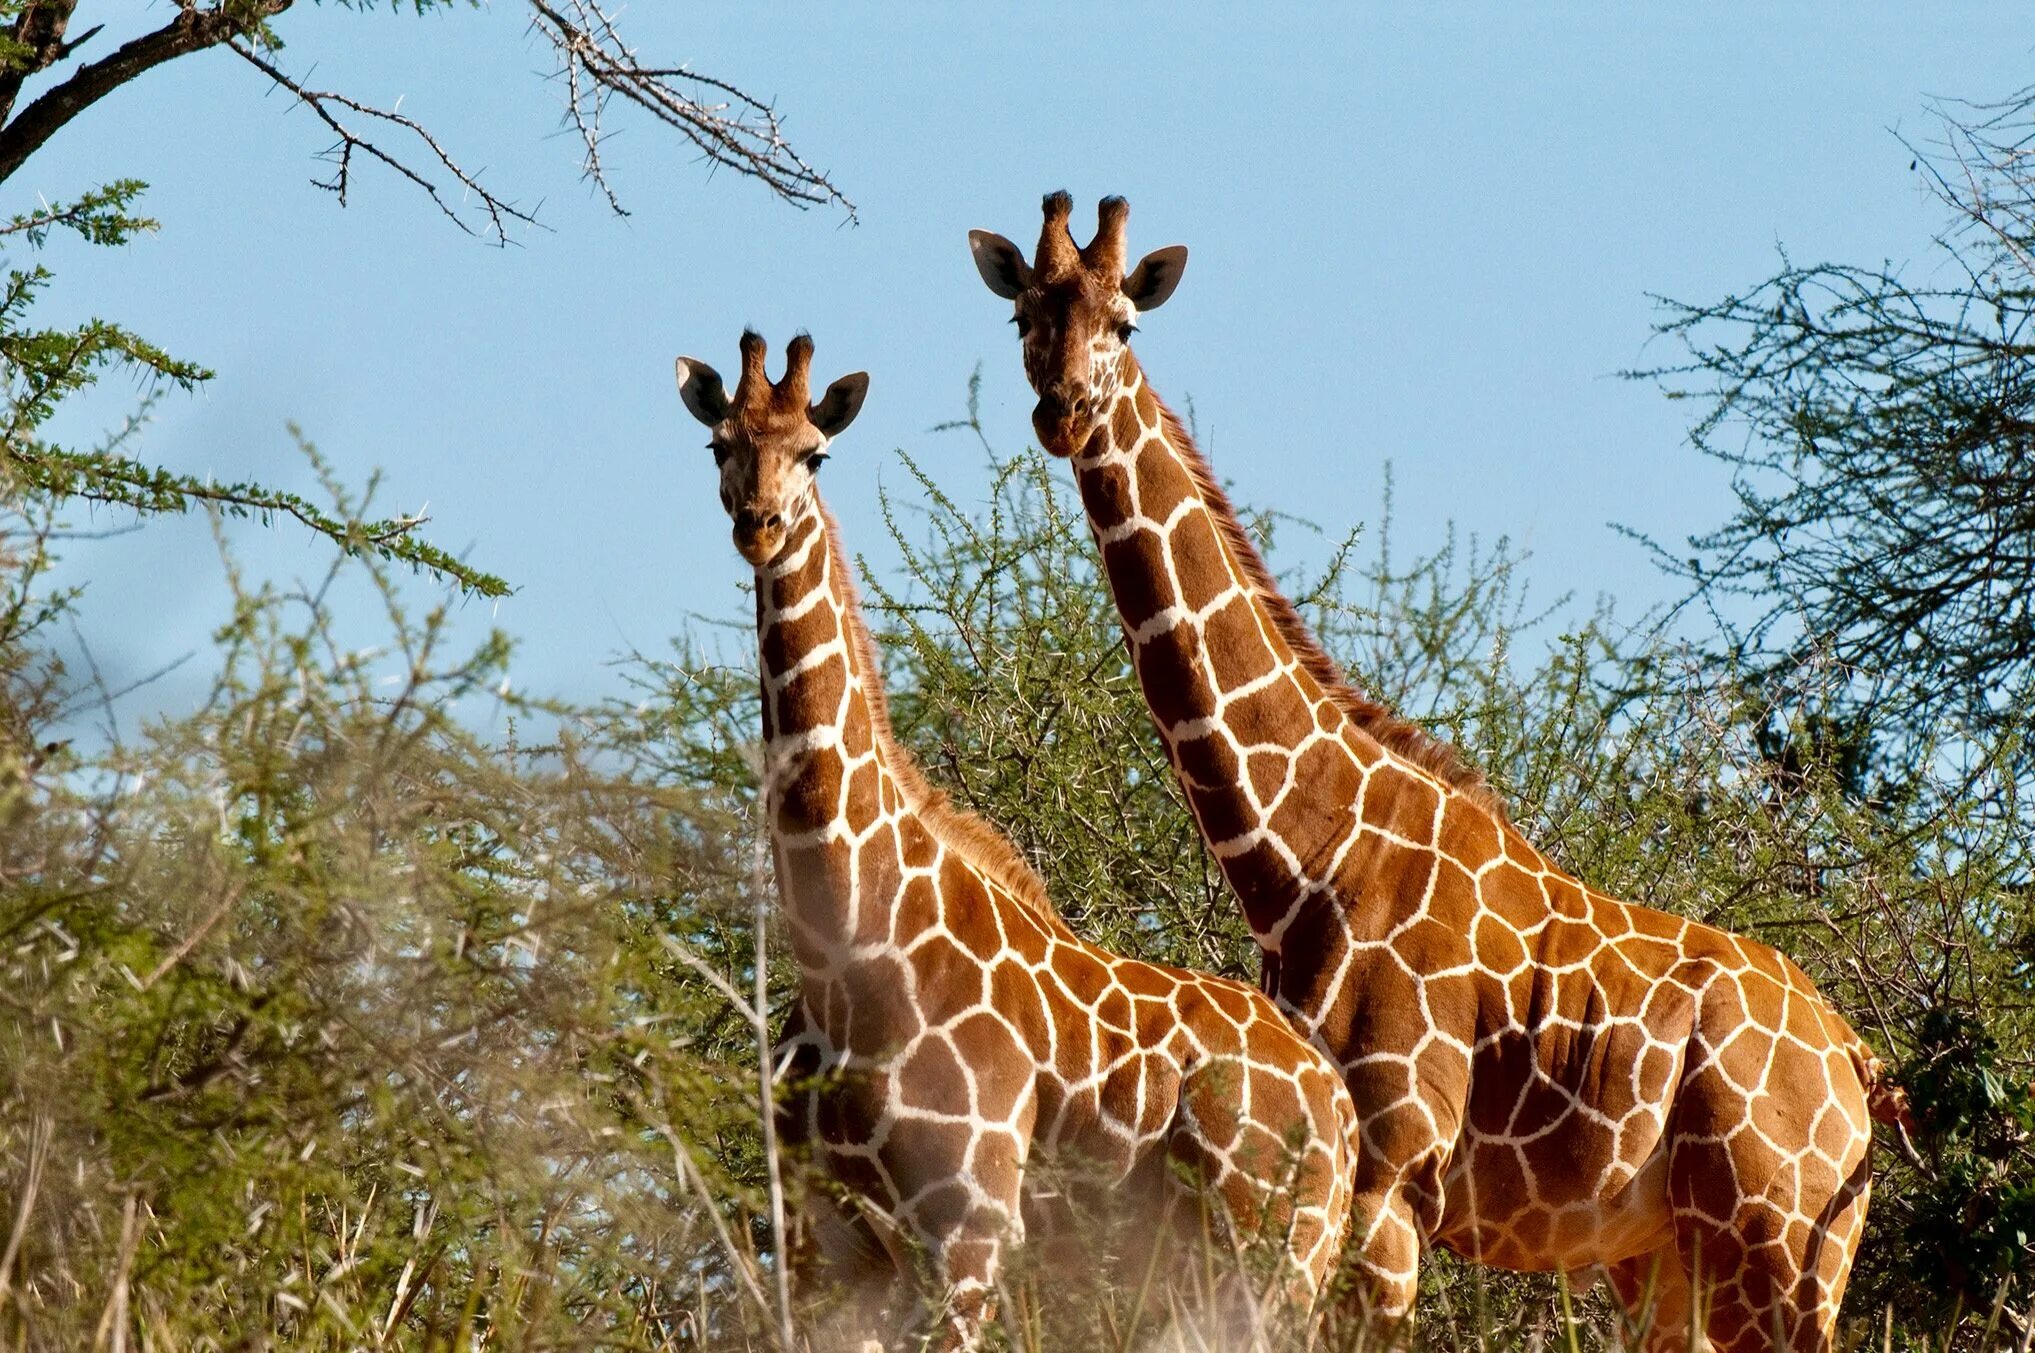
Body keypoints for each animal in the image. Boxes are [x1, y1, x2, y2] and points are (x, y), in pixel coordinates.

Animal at [675, 329, 1359, 1350]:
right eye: (720, 443)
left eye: (815, 452)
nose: (759, 524)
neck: (846, 949)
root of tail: (1342, 1113)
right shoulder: (828, 1251)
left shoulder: (968, 1228)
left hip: (1278, 1261)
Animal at [964, 192, 1904, 1350]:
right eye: (1024, 319)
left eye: (1124, 323)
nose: (1062, 410)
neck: (1299, 847)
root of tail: (1855, 1062)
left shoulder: (1388, 1174)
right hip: (1668, 1256)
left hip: (1779, 1248)